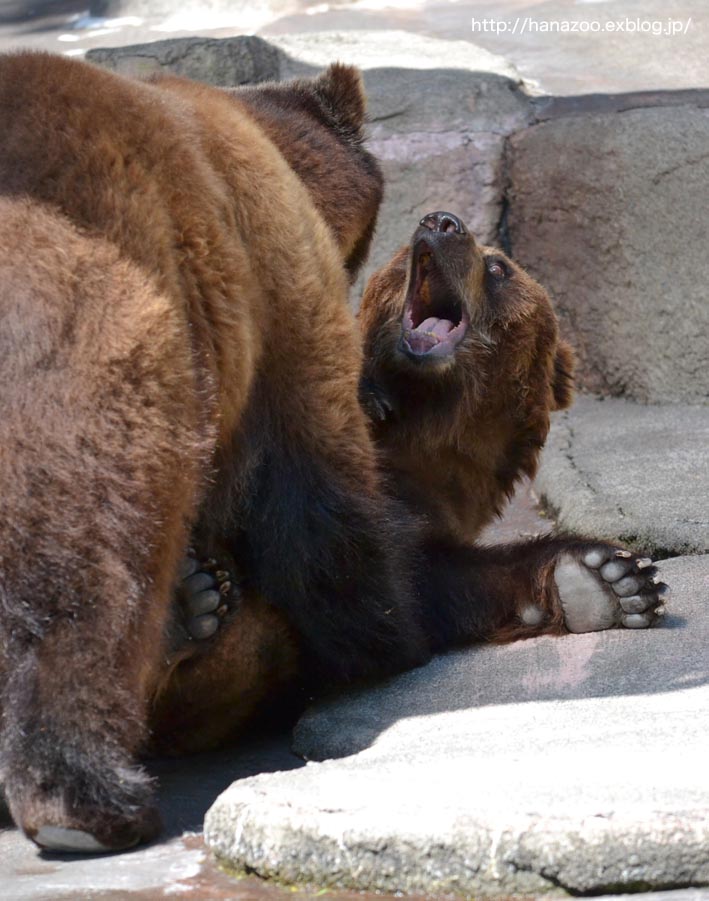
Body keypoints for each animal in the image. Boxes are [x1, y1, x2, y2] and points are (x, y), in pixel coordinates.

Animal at [0, 54, 432, 852]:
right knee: (78, 569)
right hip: (96, 341)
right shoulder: (275, 274)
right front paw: (397, 632)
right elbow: (320, 497)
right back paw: (89, 800)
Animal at [152, 214, 668, 756]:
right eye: (401, 257)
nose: (441, 223)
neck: (424, 426)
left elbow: (433, 582)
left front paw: (606, 578)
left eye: (498, 268)